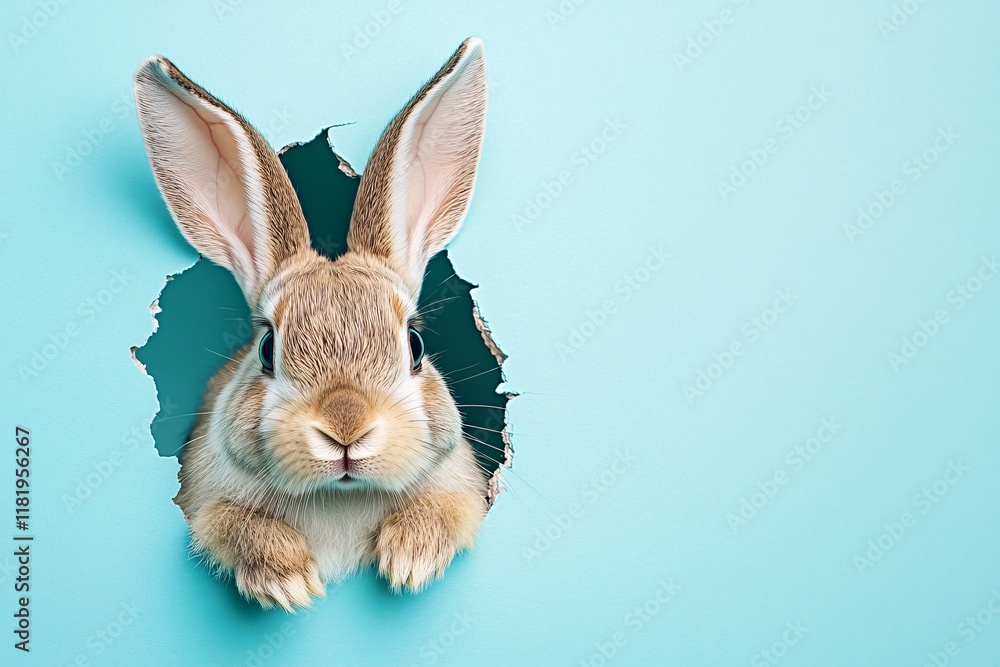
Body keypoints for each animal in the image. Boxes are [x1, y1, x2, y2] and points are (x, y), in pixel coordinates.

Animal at [133, 38, 490, 610]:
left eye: (414, 345)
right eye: (266, 348)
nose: (346, 427)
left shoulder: (462, 489)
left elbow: (450, 509)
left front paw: (409, 558)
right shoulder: (202, 501)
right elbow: (225, 523)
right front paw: (289, 581)